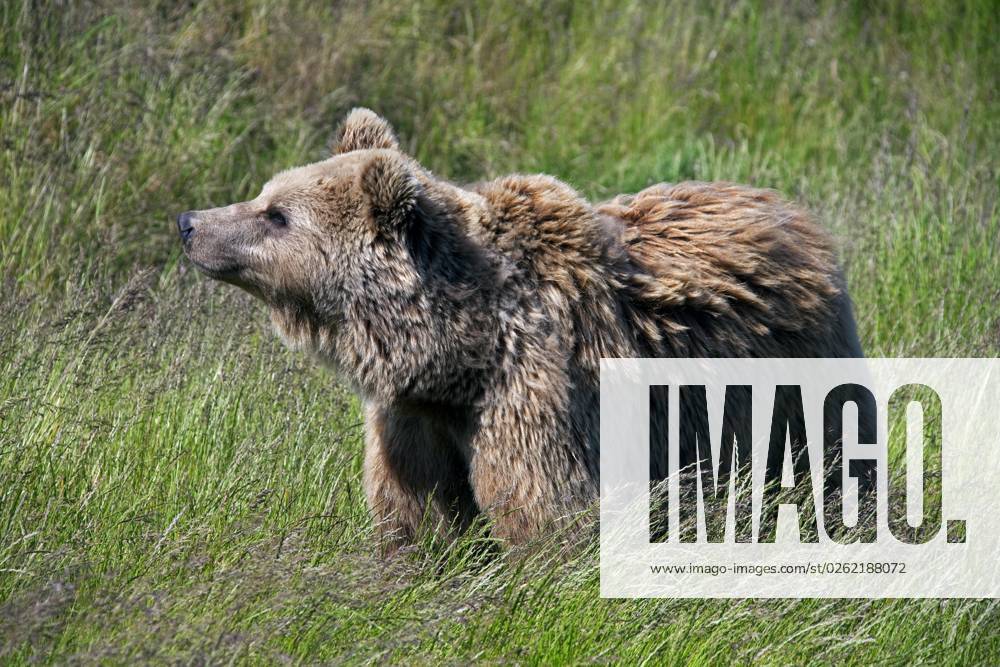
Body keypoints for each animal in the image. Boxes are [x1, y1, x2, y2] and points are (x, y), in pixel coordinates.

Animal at [177, 108, 863, 549]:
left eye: (276, 214)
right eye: (265, 193)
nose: (190, 223)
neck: (459, 354)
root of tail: (794, 214)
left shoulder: (537, 395)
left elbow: (545, 512)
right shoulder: (415, 419)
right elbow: (416, 512)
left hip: (789, 382)